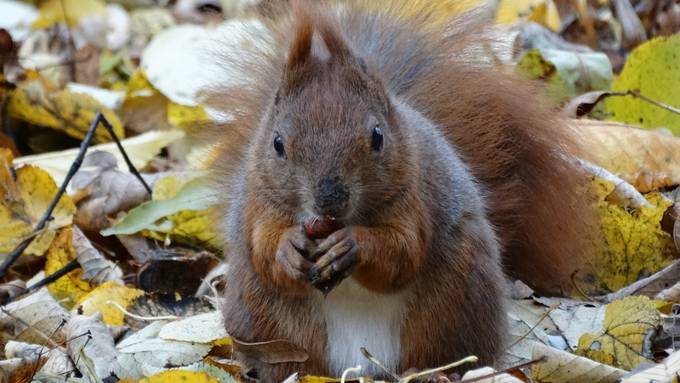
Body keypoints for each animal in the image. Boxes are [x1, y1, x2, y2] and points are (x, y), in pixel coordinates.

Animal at [209, 0, 596, 380]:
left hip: (452, 302)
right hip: (268, 321)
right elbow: (263, 246)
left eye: (378, 136)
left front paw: (352, 245)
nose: (330, 200)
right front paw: (289, 249)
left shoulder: (414, 195)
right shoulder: (260, 200)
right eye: (277, 143)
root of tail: (365, 366)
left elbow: (403, 252)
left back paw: (433, 372)